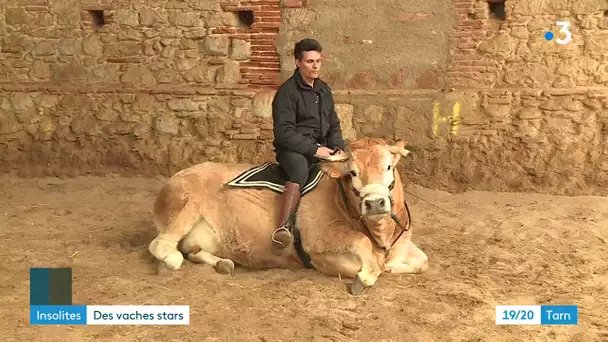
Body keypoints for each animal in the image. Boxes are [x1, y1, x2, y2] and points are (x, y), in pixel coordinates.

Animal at [148, 136, 428, 294]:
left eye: (389, 167)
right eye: (352, 173)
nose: (374, 203)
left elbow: (422, 262)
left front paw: (390, 265)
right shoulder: (320, 247)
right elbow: (363, 250)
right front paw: (368, 275)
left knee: (192, 249)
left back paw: (222, 263)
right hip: (186, 205)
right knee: (161, 246)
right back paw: (173, 259)